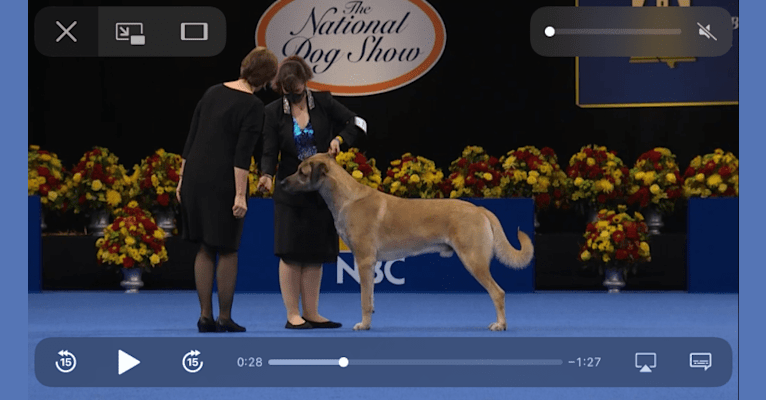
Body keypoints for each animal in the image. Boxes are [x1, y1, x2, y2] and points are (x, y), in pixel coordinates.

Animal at [280, 153, 536, 332]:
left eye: (301, 171)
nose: (281, 183)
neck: (347, 198)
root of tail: (479, 208)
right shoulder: (370, 264)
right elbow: (370, 296)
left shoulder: (363, 260)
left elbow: (364, 299)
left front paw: (364, 324)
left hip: (474, 260)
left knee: (498, 293)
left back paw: (500, 324)